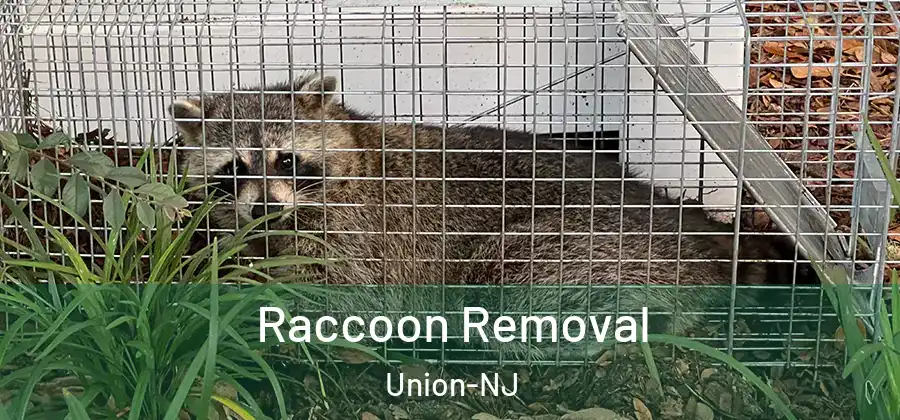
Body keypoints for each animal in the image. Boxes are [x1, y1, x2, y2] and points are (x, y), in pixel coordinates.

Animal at [168, 73, 811, 359]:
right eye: (234, 169)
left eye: (287, 159)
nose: (265, 206)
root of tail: (688, 232)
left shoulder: (367, 233)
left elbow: (344, 295)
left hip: (587, 246)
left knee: (512, 279)